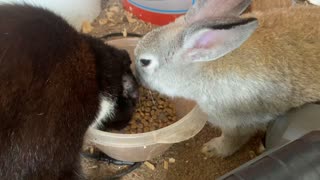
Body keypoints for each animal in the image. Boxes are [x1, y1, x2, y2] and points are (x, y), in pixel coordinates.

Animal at [134, 0, 318, 158]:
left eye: (145, 62)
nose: (135, 76)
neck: (205, 65)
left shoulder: (239, 123)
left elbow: (232, 140)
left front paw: (211, 149)